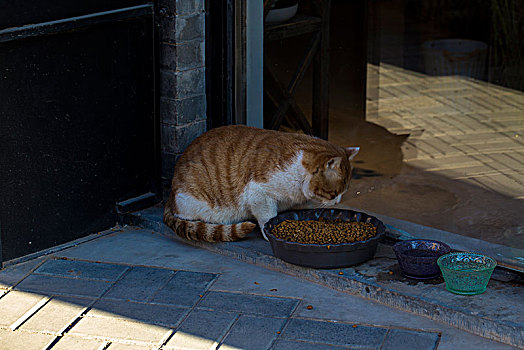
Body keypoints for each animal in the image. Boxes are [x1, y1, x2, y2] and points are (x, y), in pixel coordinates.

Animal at [164, 124, 360, 242]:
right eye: (334, 194)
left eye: (343, 192)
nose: (337, 202)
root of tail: (171, 195)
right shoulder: (259, 194)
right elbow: (268, 217)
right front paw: (269, 233)